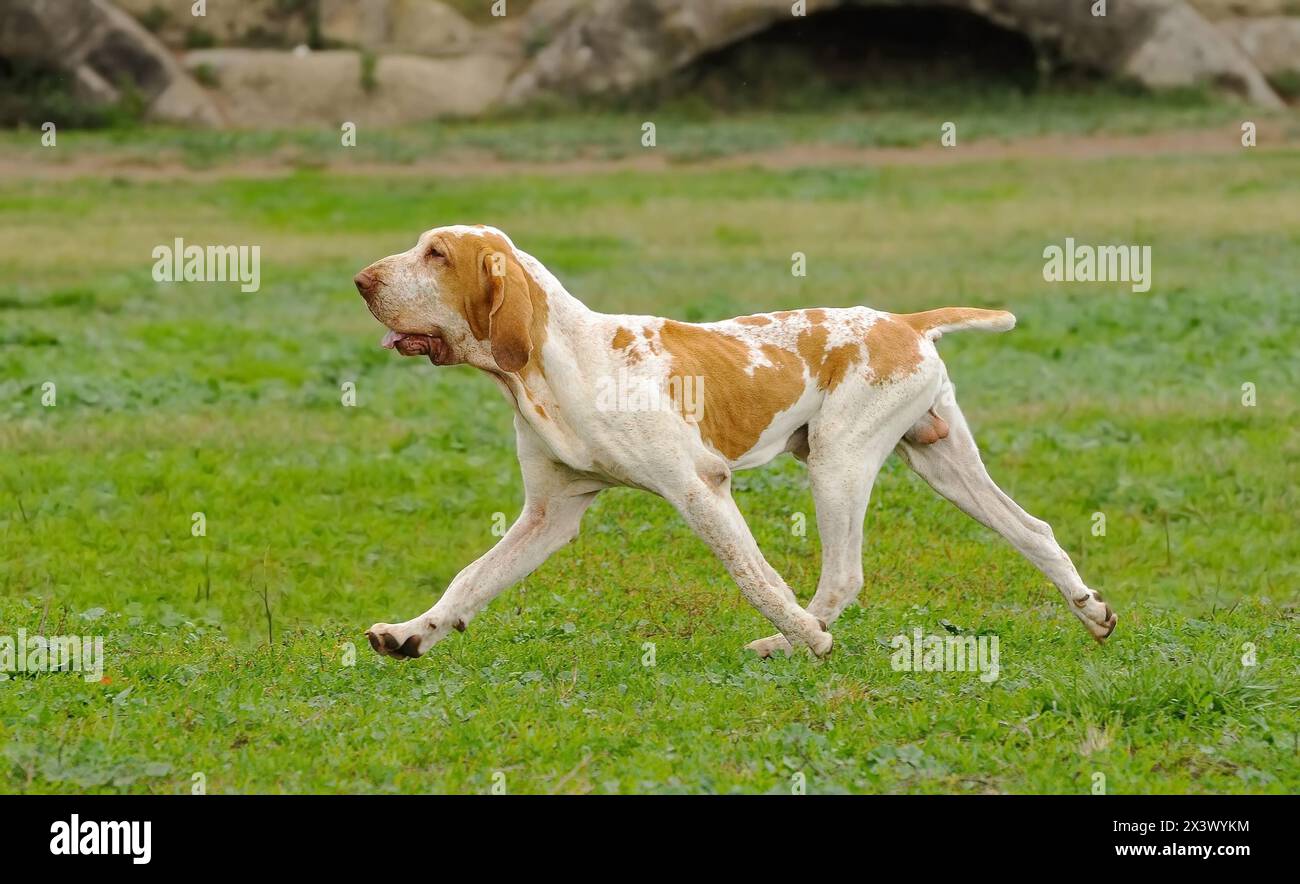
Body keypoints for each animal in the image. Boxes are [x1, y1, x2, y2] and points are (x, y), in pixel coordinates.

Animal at [356, 224, 1118, 660]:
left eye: (436, 254)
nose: (361, 281)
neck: (559, 360)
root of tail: (904, 321)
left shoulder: (700, 490)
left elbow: (757, 578)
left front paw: (808, 639)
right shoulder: (549, 514)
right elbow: (470, 579)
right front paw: (412, 634)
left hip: (839, 461)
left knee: (842, 574)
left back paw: (791, 641)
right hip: (941, 464)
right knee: (1034, 530)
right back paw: (1091, 611)